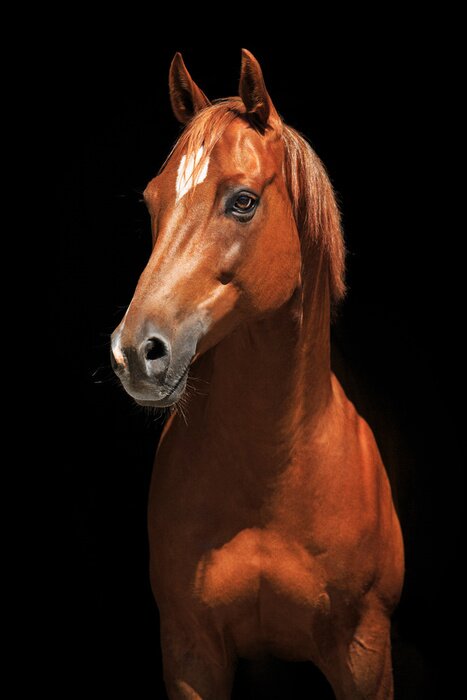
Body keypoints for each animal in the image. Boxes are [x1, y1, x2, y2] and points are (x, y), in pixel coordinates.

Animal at [111, 49, 404, 700]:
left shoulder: (364, 651)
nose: (134, 353)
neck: (271, 477)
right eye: (151, 201)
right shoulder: (191, 651)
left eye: (242, 200)